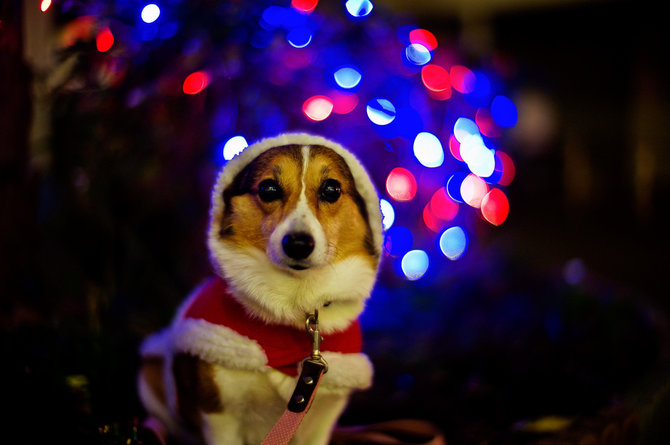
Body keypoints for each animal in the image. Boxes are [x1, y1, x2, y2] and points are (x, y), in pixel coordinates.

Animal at [138, 133, 384, 444]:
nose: (298, 244)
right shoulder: (219, 415)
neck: (293, 302)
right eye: (268, 189)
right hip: (150, 375)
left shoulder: (321, 419)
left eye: (332, 189)